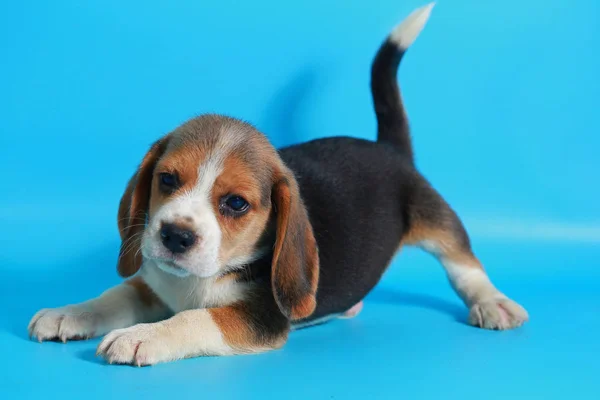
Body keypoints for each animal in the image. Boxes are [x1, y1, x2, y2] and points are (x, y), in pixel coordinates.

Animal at [28, 2, 528, 366]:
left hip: (436, 218)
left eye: (235, 204)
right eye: (167, 179)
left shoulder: (257, 319)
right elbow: (115, 294)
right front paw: (69, 312)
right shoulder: (153, 284)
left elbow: (195, 321)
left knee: (464, 263)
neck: (205, 277)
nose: (175, 235)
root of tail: (387, 148)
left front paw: (140, 336)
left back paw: (493, 303)